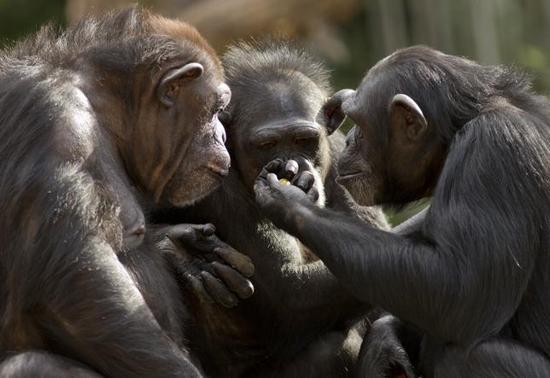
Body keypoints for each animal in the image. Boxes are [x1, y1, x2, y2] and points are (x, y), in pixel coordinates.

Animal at [0, 8, 254, 378]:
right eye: (216, 109)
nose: (221, 134)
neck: (104, 110)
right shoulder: (54, 121)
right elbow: (79, 284)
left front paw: (182, 249)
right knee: (33, 363)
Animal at [153, 42, 390, 378]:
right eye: (267, 144)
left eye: (304, 140)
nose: (292, 167)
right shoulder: (214, 185)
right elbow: (289, 290)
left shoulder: (344, 156)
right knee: (332, 348)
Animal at [256, 45, 550, 378]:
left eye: (360, 123)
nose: (351, 138)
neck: (457, 131)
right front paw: (385, 342)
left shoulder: (493, 149)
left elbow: (460, 287)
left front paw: (289, 200)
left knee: (466, 355)